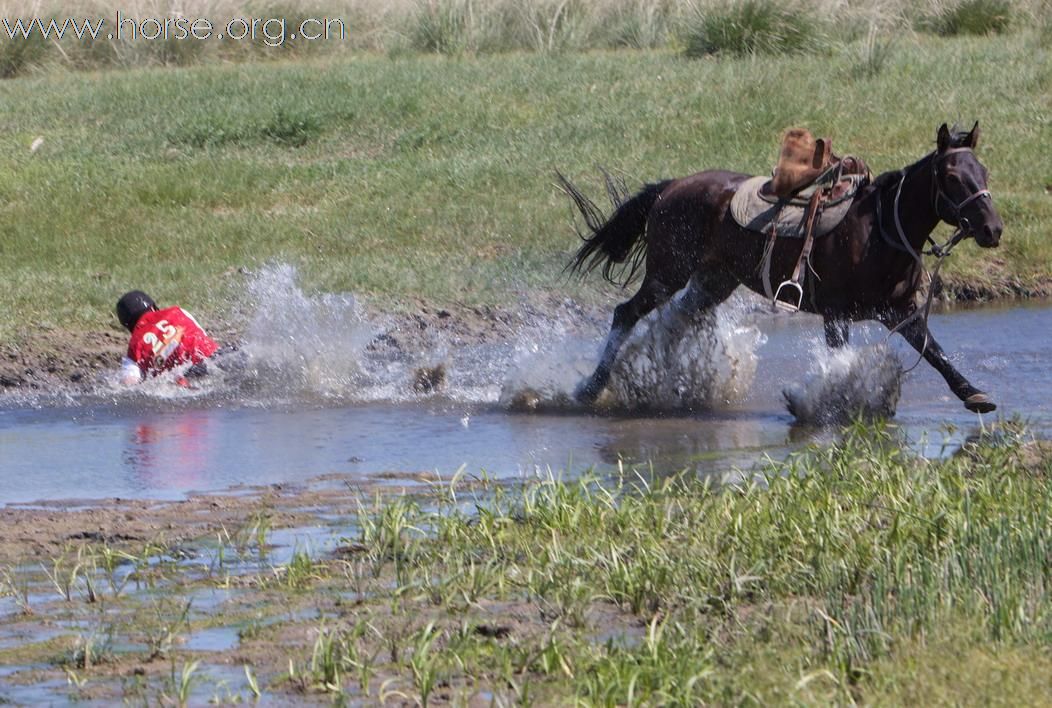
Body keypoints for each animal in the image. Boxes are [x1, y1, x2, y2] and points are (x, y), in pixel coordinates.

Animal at [568, 123, 1001, 414]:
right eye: (951, 176)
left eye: (984, 172)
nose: (992, 229)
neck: (880, 230)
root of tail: (670, 187)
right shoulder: (836, 314)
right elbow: (840, 363)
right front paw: (815, 405)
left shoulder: (900, 311)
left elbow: (935, 352)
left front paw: (974, 395)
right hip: (667, 274)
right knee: (626, 313)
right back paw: (590, 388)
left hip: (713, 281)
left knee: (674, 324)